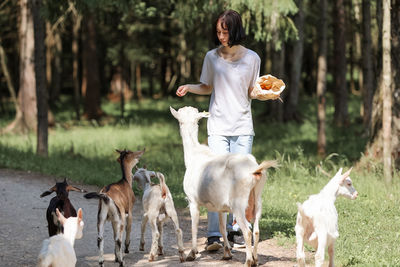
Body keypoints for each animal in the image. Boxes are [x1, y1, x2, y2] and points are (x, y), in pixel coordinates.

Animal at [170, 105, 276, 266]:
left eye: (180, 121)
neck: (194, 156)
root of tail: (254, 170)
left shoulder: (192, 200)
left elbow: (194, 227)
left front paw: (191, 254)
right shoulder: (220, 206)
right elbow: (221, 226)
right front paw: (227, 253)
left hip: (239, 204)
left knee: (248, 231)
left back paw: (248, 261)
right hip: (258, 200)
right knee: (256, 231)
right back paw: (256, 260)